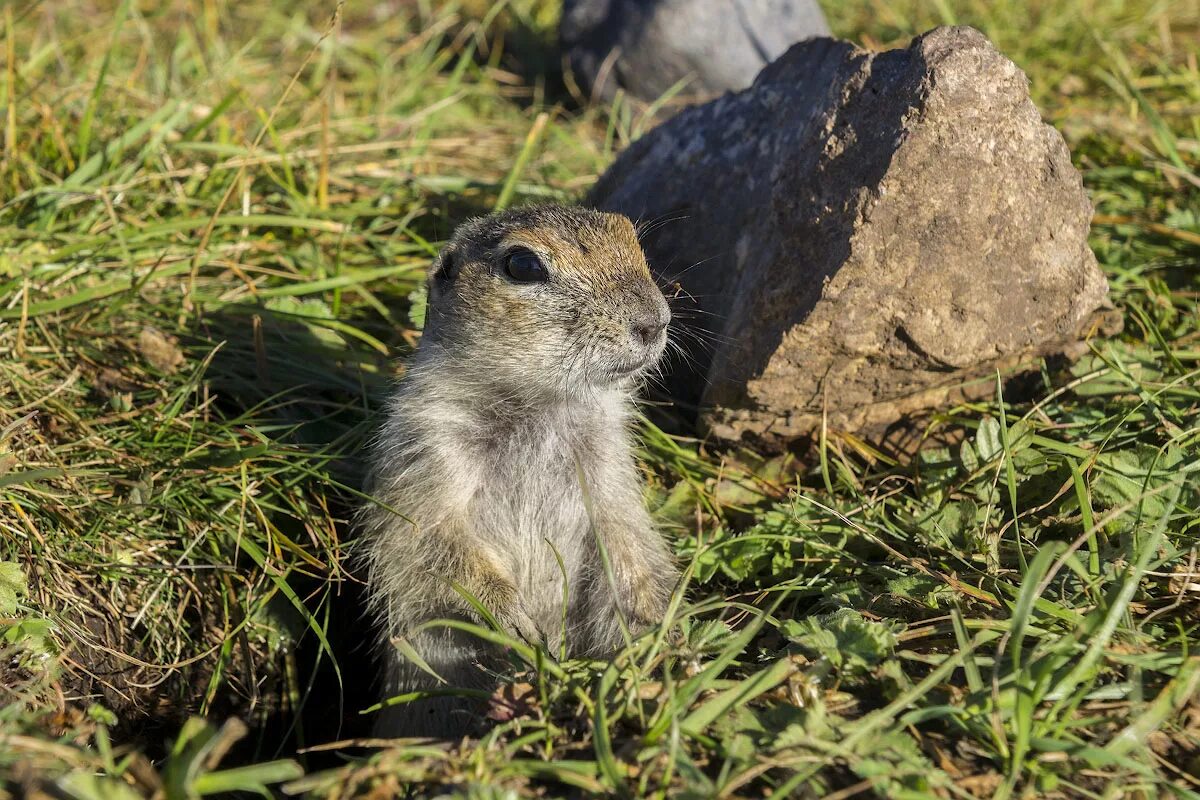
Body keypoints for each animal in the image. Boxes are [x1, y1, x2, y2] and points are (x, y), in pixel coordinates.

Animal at [360, 203, 681, 734]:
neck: (537, 405)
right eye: (523, 265)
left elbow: (628, 545)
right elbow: (430, 542)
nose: (654, 322)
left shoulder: (610, 471)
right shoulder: (425, 451)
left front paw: (653, 638)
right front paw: (516, 624)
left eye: (629, 236)